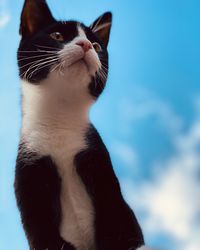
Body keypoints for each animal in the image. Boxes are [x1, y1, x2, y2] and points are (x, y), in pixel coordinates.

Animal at [14, 0, 145, 250]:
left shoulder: (97, 158)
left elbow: (115, 213)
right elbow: (41, 229)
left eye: (96, 45)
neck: (59, 121)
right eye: (56, 35)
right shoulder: (29, 168)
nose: (85, 45)